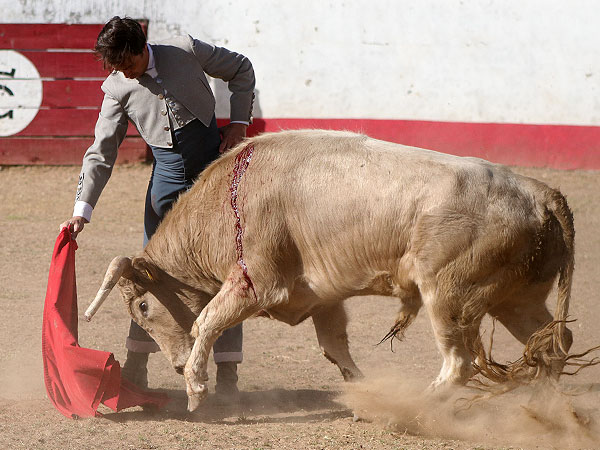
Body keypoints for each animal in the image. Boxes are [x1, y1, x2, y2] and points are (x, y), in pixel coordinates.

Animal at [84, 129, 576, 412]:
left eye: (143, 307)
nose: (176, 363)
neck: (230, 197)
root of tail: (541, 192)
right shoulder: (324, 297)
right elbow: (334, 346)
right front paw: (360, 393)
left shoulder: (256, 285)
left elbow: (206, 320)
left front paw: (196, 388)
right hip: (515, 300)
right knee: (554, 343)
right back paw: (547, 411)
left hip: (449, 296)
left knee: (460, 362)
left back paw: (415, 410)